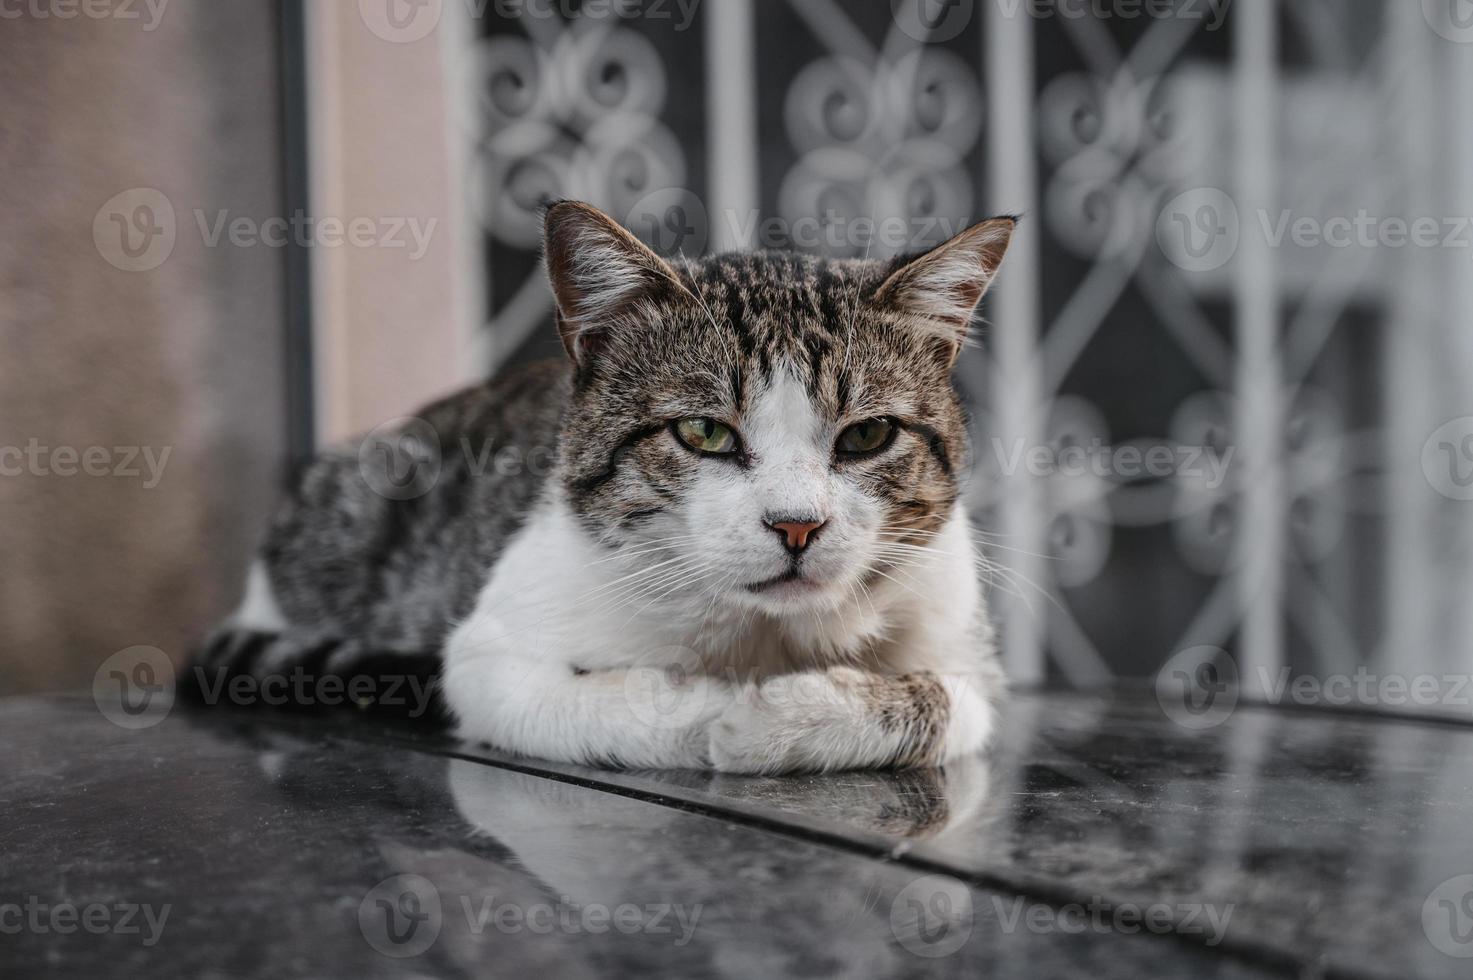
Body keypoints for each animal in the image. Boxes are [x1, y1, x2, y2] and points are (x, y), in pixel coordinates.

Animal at [195, 200, 1013, 772]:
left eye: (866, 437)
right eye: (704, 432)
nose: (797, 525)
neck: (766, 633)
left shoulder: (964, 646)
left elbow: (945, 702)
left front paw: (789, 716)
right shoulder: (490, 658)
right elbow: (601, 700)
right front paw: (725, 715)